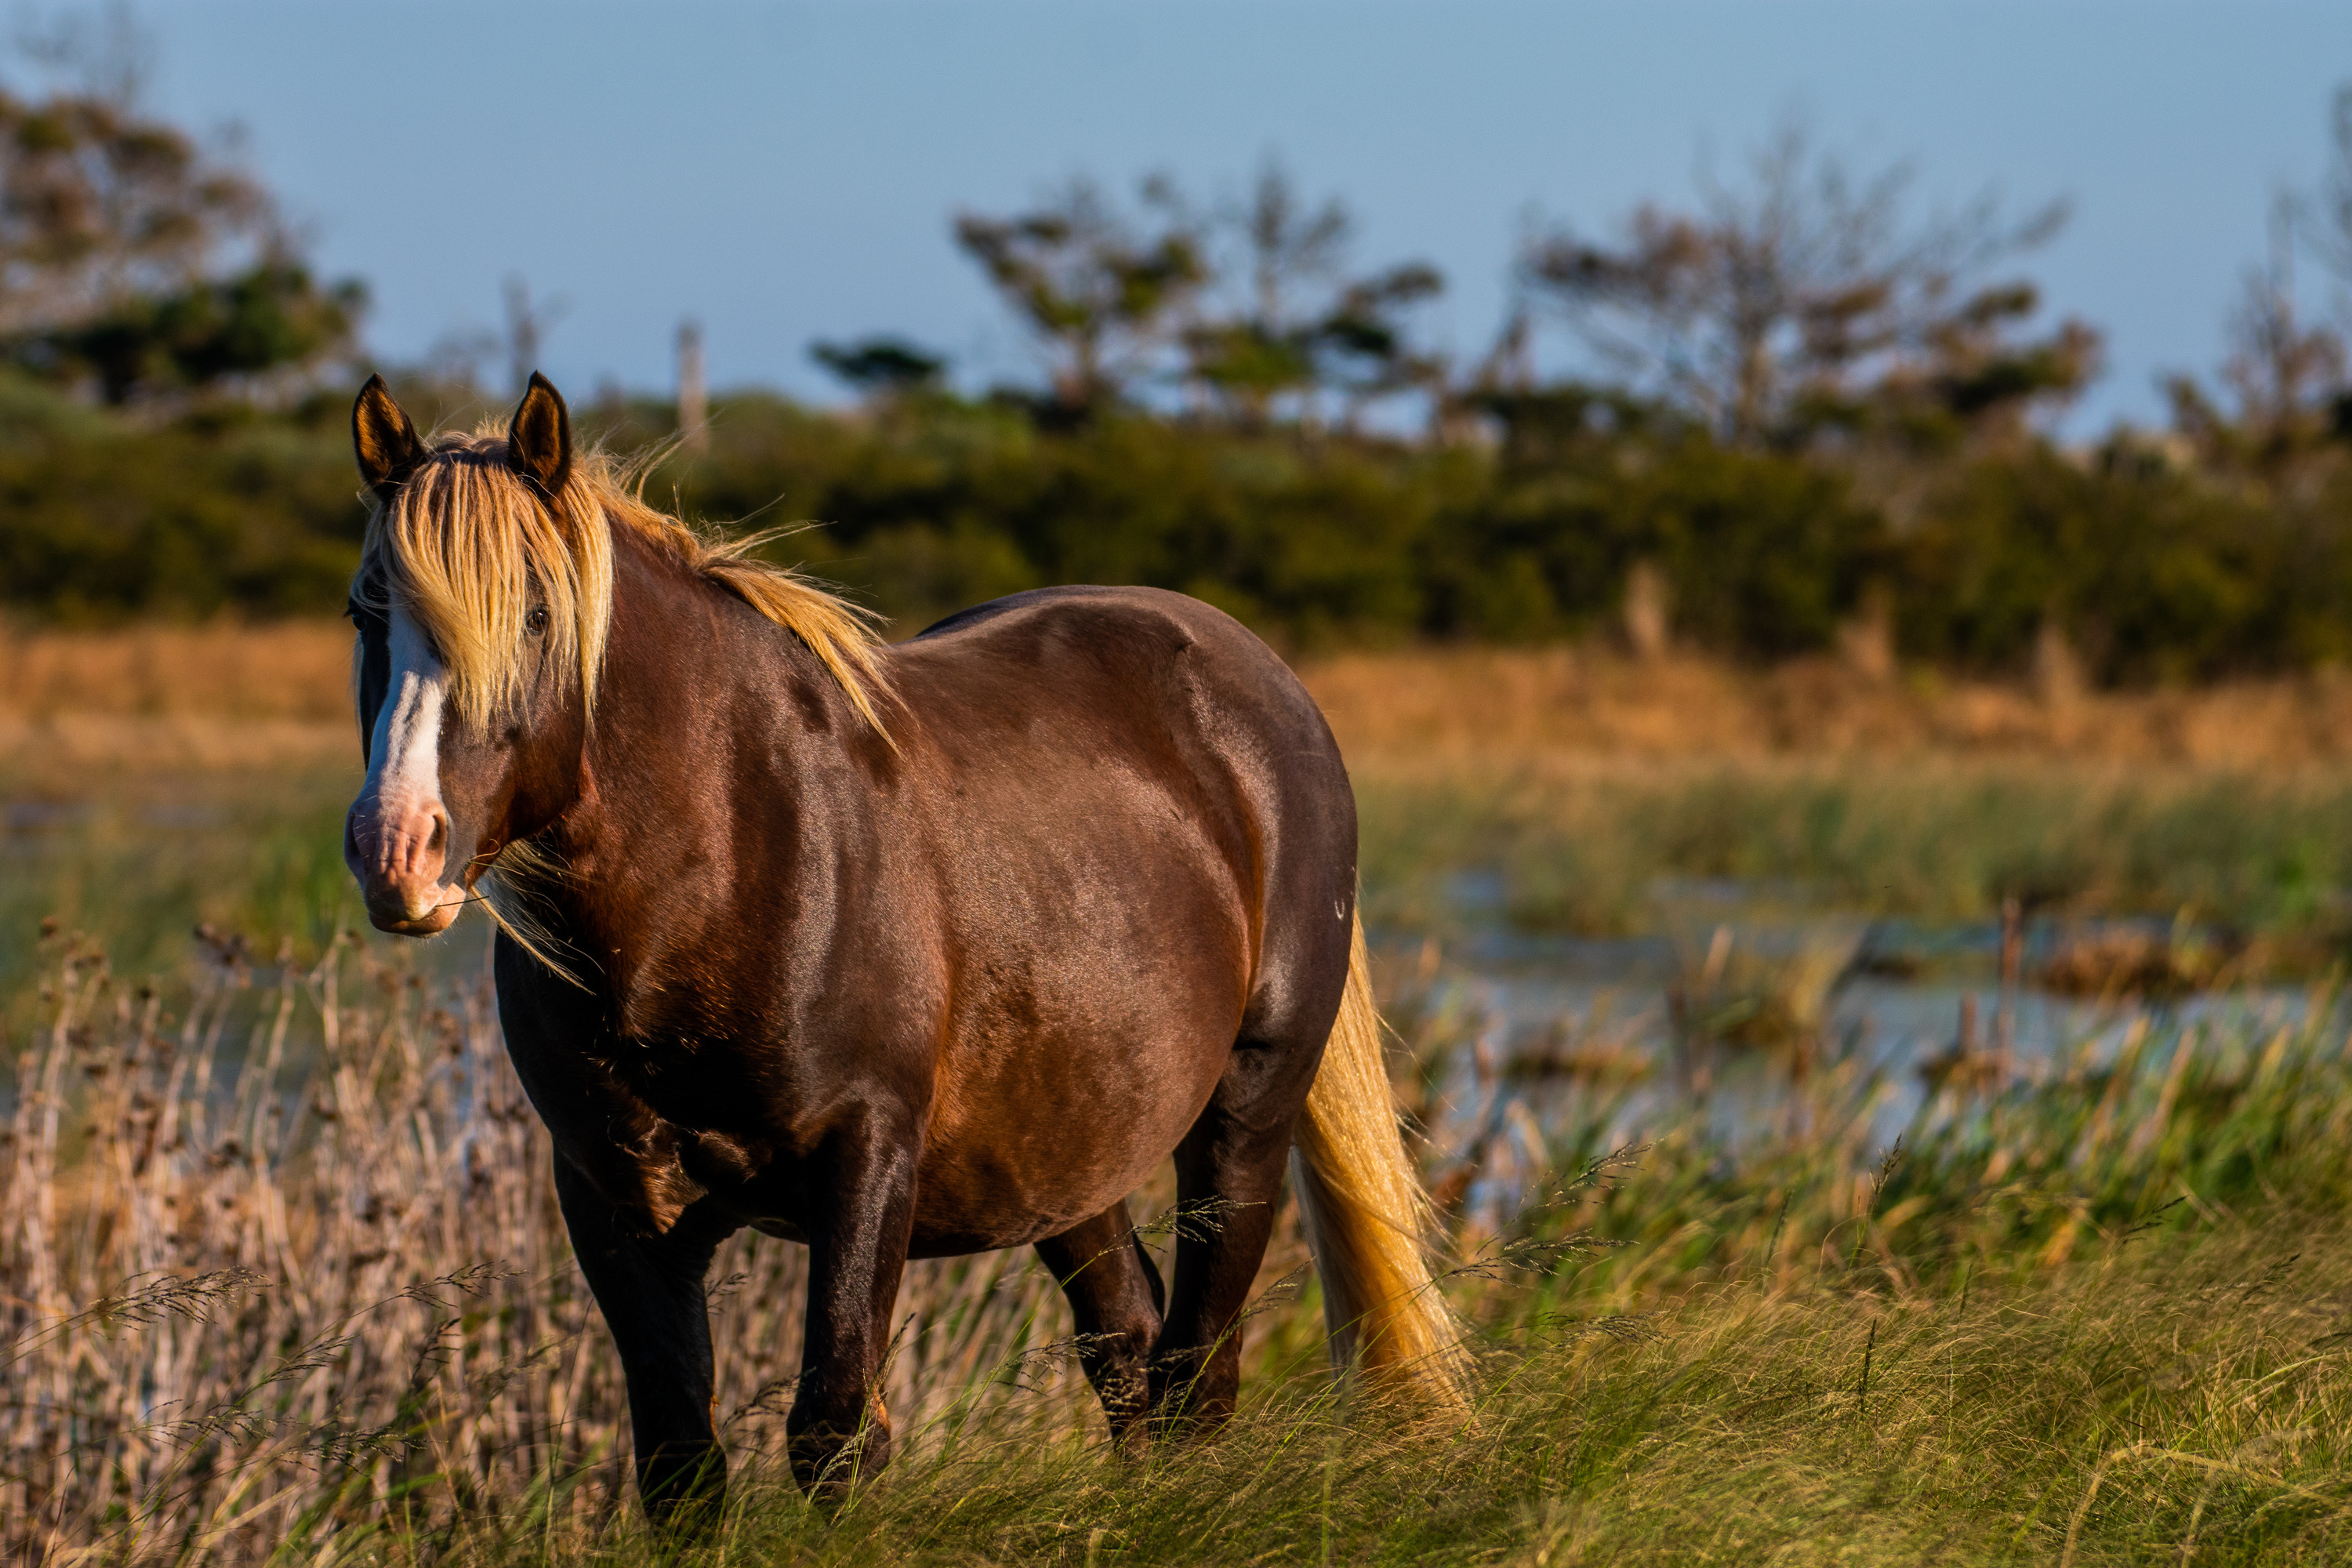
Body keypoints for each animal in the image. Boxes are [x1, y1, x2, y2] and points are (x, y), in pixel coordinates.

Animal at [341, 371, 1458, 1523]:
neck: (730, 853)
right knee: (1127, 1340)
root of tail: (1259, 680)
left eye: (534, 613)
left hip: (1247, 1109)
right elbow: (682, 1465)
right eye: (366, 612)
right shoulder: (613, 1196)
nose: (397, 849)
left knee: (1199, 1369)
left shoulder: (865, 1153)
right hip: (1067, 1149)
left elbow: (833, 1431)